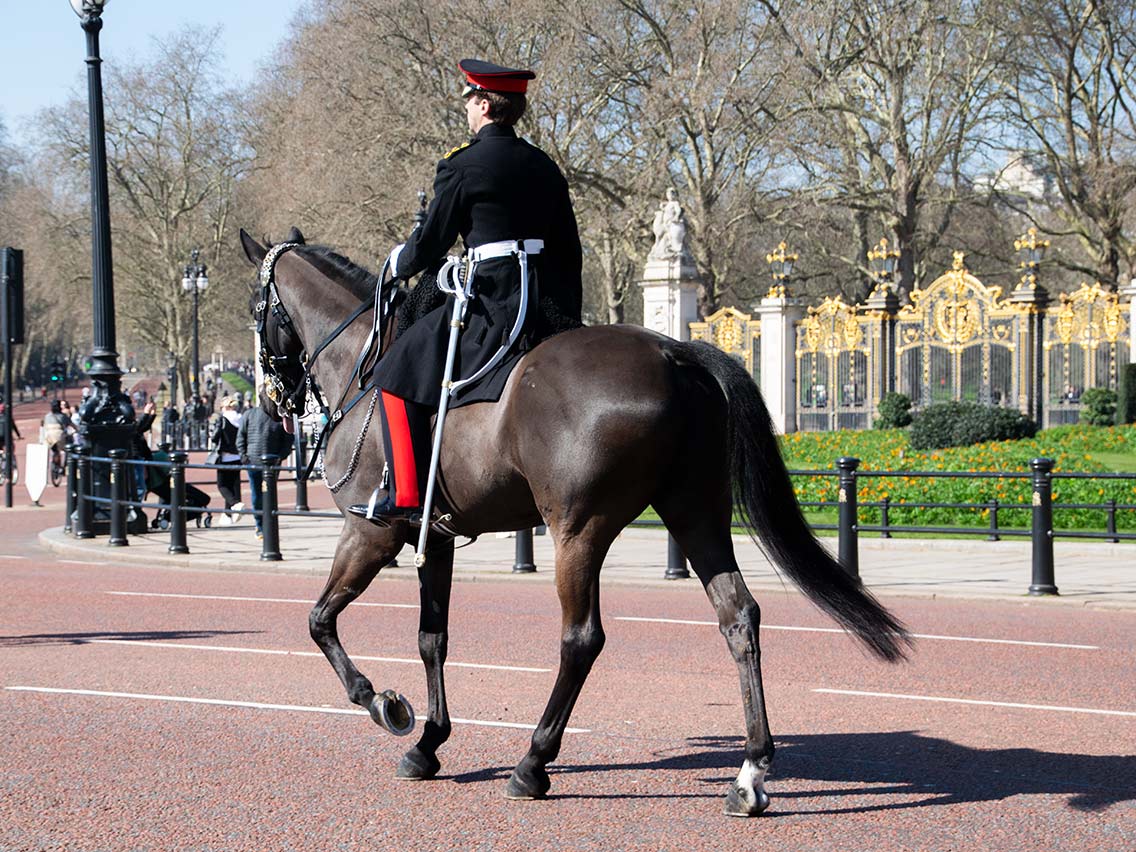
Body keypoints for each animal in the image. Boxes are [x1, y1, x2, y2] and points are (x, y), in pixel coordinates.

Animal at [241, 228, 913, 822]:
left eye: (256, 309)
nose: (274, 402)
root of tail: (676, 351)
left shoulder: (370, 530)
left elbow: (320, 619)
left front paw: (383, 704)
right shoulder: (436, 536)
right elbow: (432, 638)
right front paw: (428, 742)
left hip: (578, 530)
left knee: (582, 639)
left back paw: (532, 763)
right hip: (695, 513)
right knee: (738, 616)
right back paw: (749, 774)